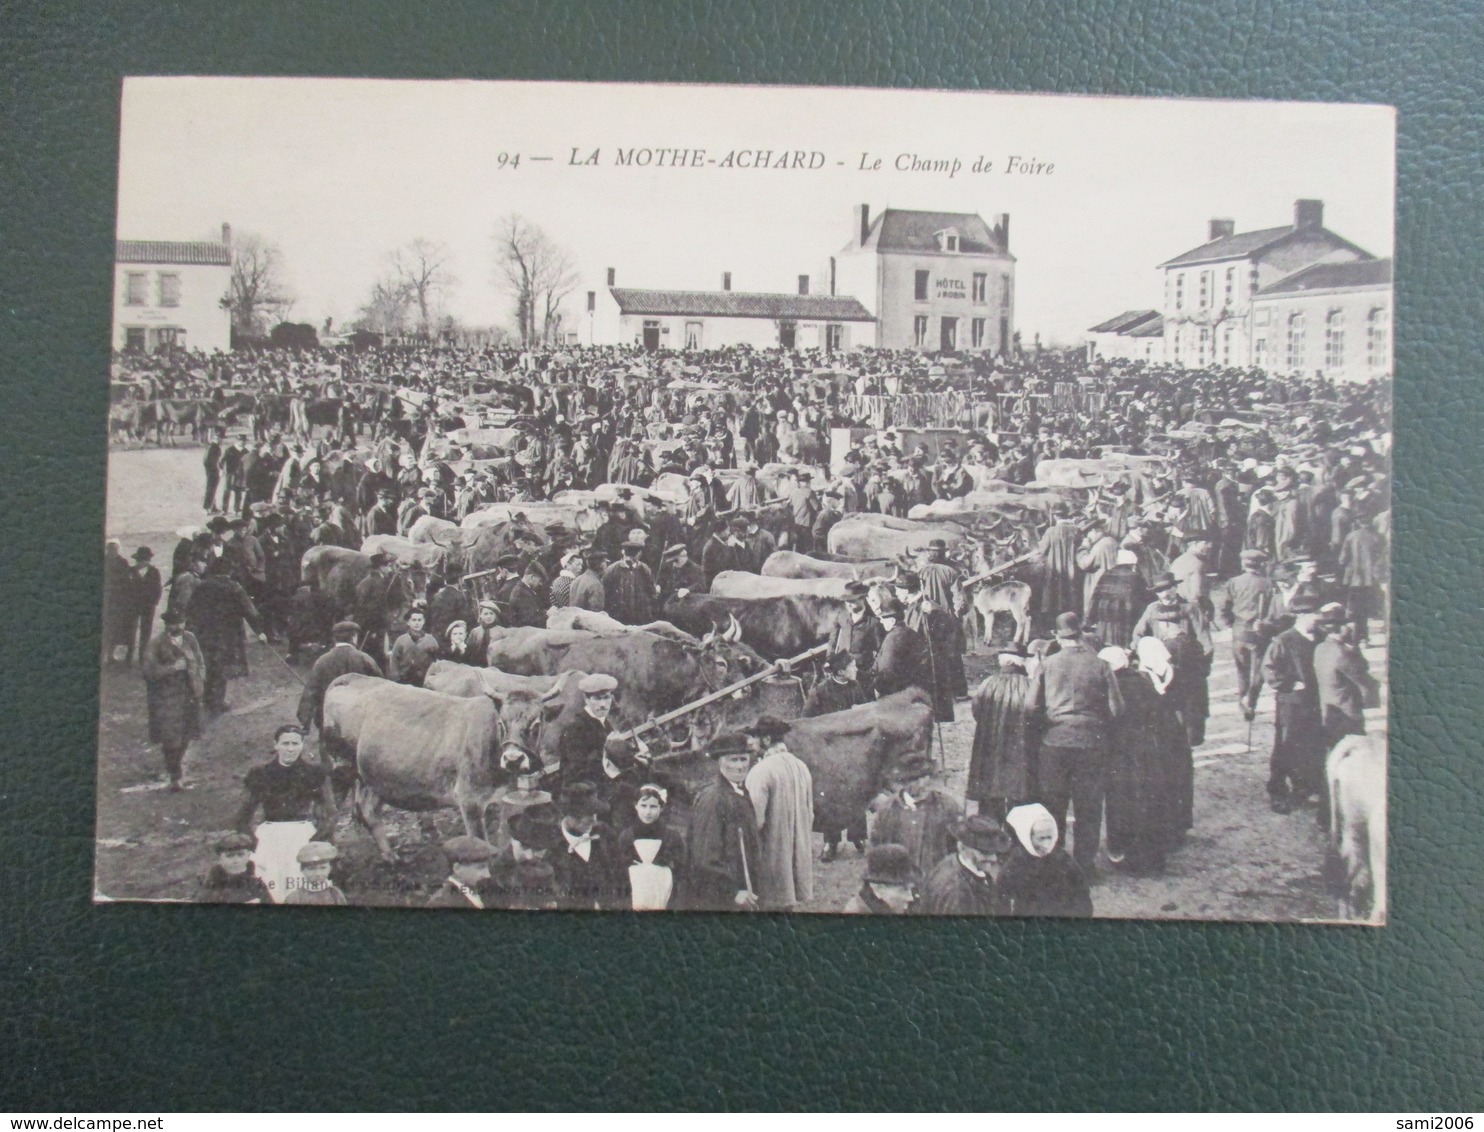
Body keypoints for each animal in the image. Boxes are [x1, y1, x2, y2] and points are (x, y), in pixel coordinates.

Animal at [317, 673, 504, 860]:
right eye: (502, 723)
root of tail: (350, 678)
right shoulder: (470, 797)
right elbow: (480, 842)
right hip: (341, 766)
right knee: (333, 810)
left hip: (371, 777)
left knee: (366, 810)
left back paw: (389, 854)